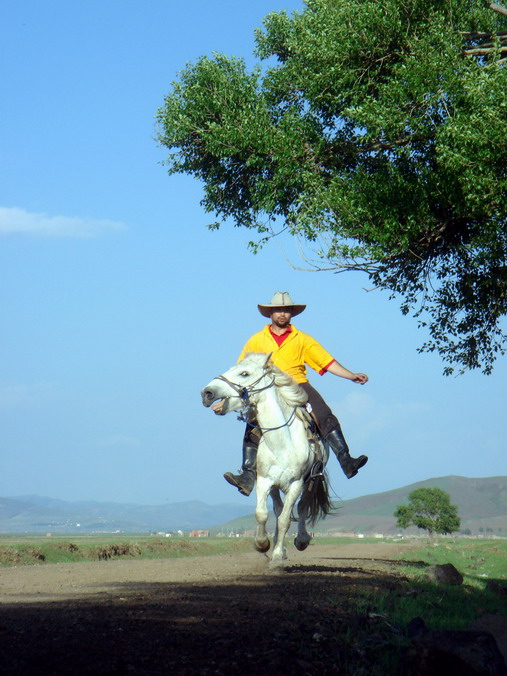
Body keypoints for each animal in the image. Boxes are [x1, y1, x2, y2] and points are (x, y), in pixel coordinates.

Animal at [202, 352, 334, 568]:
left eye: (244, 373)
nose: (207, 393)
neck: (282, 442)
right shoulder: (264, 481)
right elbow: (263, 514)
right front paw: (263, 544)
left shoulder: (296, 484)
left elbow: (285, 520)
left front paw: (278, 556)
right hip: (275, 487)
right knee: (278, 508)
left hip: (311, 482)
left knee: (301, 507)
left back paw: (301, 540)